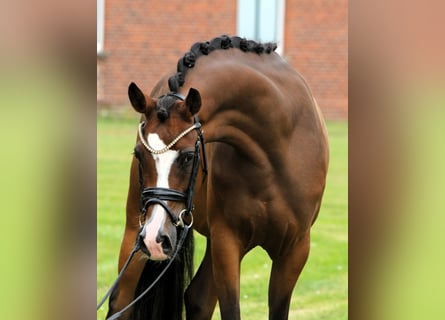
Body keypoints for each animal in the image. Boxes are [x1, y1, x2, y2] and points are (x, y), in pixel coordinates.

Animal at [106, 35, 330, 320]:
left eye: (189, 156)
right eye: (138, 154)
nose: (154, 237)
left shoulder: (295, 250)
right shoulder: (227, 242)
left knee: (197, 299)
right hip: (135, 230)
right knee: (122, 302)